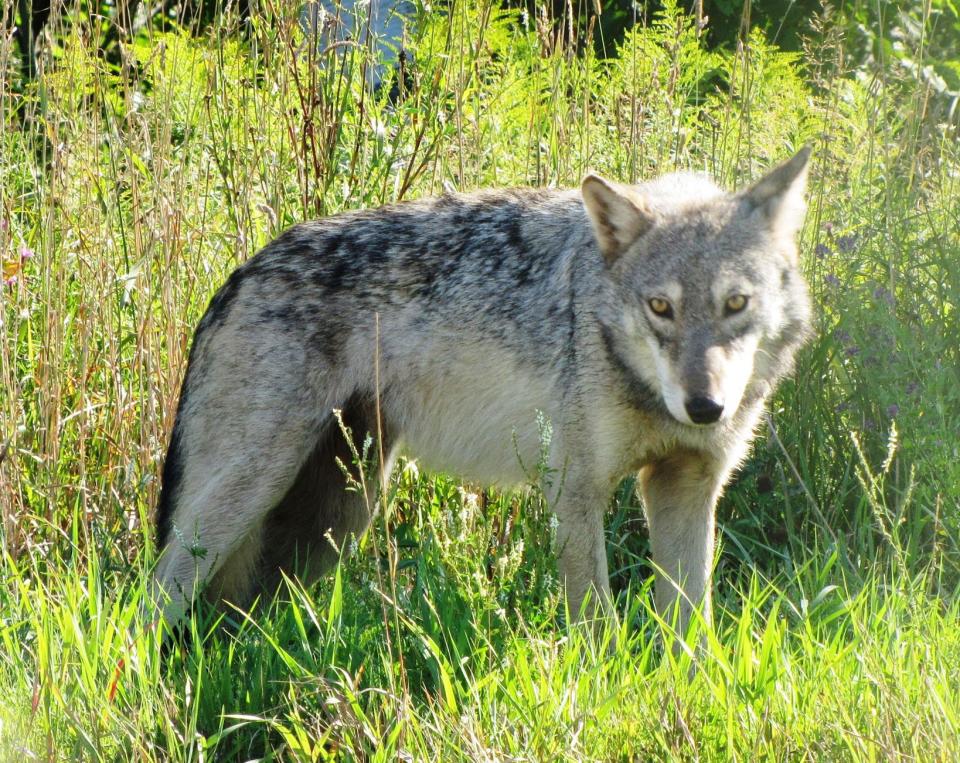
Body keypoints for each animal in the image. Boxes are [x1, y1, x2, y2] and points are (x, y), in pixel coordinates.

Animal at [154, 149, 812, 640]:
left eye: (736, 304)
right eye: (660, 308)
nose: (705, 409)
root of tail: (237, 276)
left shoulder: (687, 485)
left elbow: (690, 628)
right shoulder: (574, 491)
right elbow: (596, 626)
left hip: (335, 518)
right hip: (248, 496)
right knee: (151, 598)